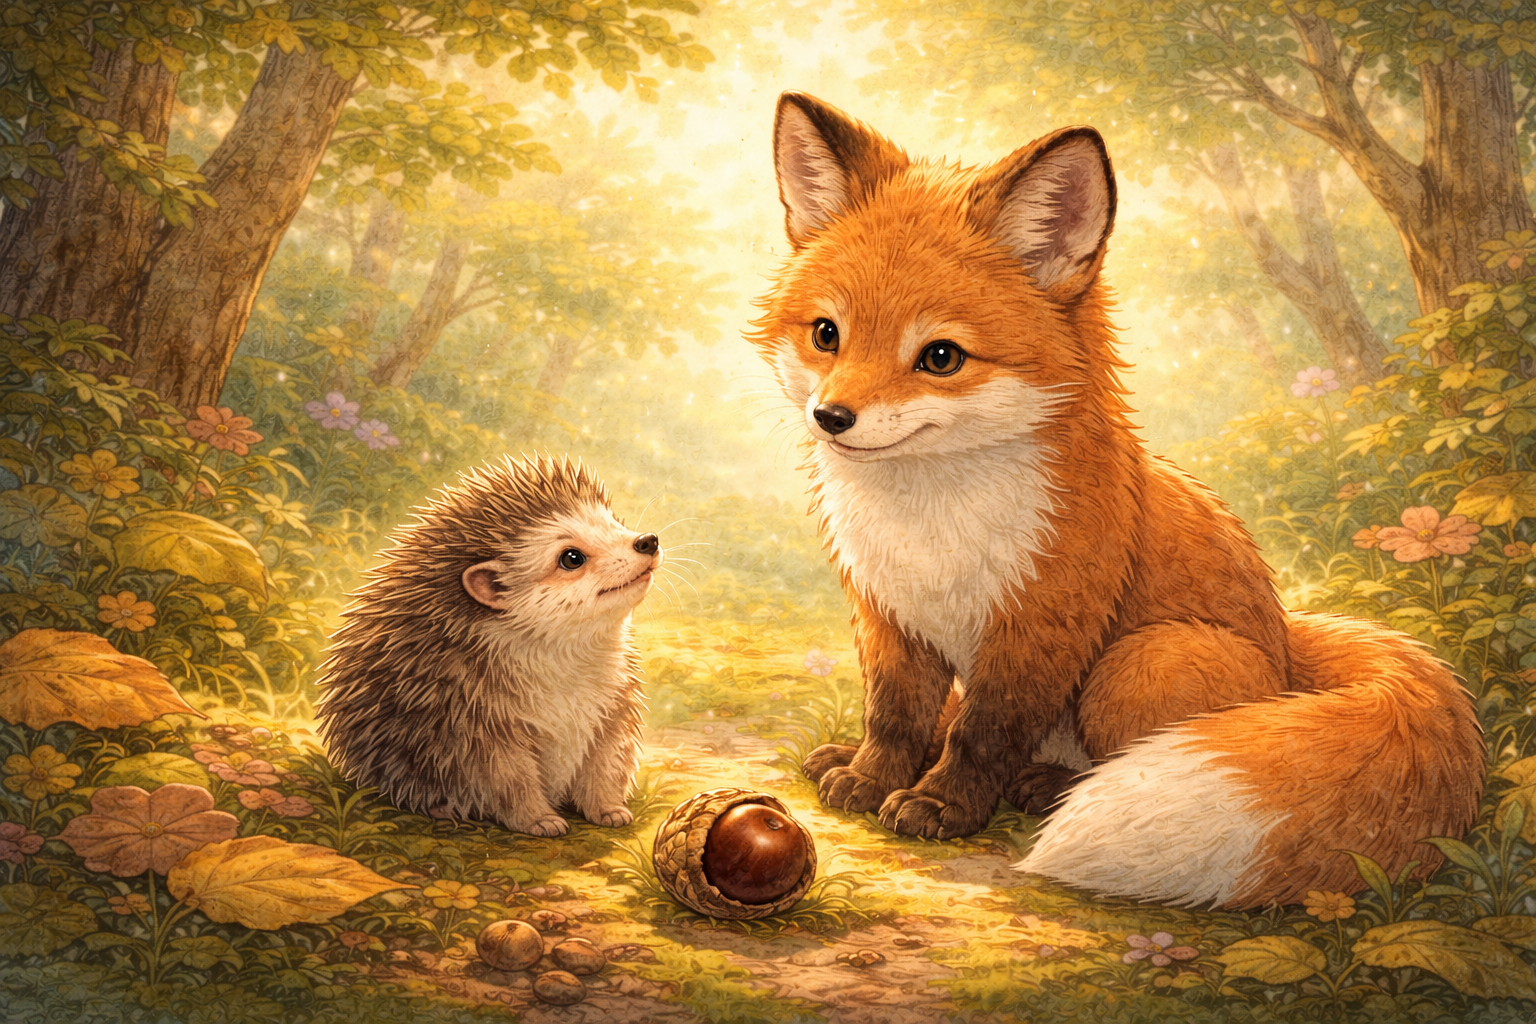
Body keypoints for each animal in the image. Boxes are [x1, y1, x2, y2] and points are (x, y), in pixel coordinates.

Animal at [749, 92, 1485, 909]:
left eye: (940, 357)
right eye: (826, 334)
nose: (831, 417)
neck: (930, 522)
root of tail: (1289, 653)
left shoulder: (1042, 625)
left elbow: (983, 735)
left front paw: (942, 804)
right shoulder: (889, 612)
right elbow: (895, 717)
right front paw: (872, 777)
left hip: (1144, 663)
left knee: (1093, 752)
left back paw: (1046, 787)